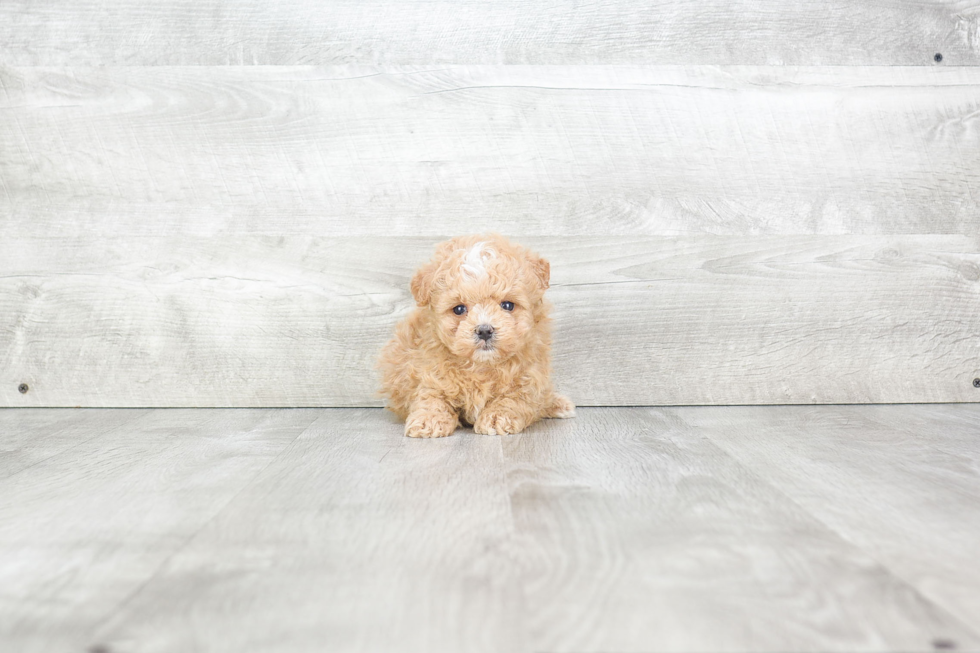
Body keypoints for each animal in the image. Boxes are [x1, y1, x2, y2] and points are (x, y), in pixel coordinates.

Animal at [376, 232, 576, 436]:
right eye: (459, 309)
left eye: (507, 305)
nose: (484, 330)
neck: (481, 366)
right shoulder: (429, 371)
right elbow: (431, 395)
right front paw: (428, 419)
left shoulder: (529, 377)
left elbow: (514, 398)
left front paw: (497, 417)